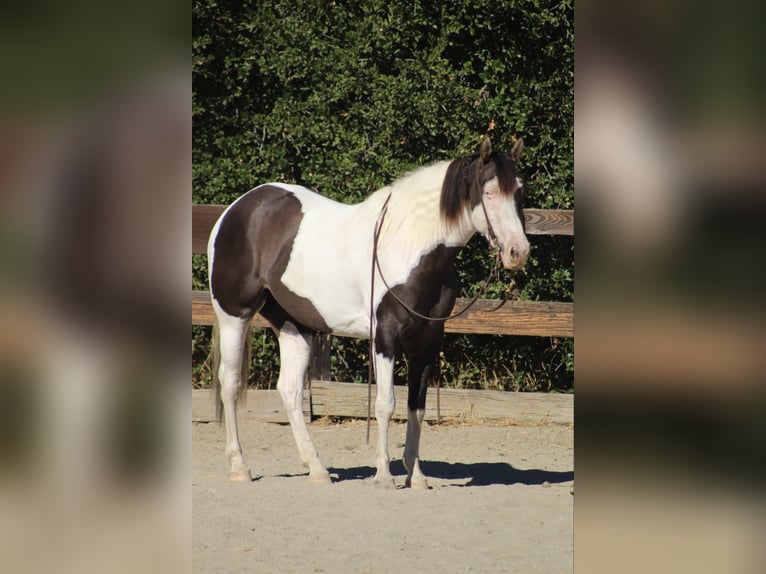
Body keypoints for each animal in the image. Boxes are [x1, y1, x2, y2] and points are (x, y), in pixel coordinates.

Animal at [207, 136, 532, 490]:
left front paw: (416, 476)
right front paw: (384, 476)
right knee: (230, 383)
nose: (518, 252)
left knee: (290, 389)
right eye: (488, 192)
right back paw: (240, 466)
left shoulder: (427, 341)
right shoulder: (385, 337)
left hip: (294, 325)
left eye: (519, 191)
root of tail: (235, 210)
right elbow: (386, 404)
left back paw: (317, 469)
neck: (410, 248)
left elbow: (417, 408)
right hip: (234, 316)